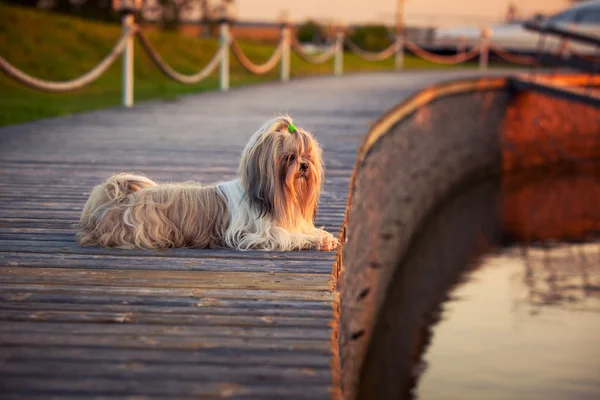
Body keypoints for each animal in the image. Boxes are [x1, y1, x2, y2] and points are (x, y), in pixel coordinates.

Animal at [75, 115, 338, 250]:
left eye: (308, 156)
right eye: (289, 157)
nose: (304, 166)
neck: (276, 200)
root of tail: (115, 200)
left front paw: (323, 235)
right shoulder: (261, 234)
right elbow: (289, 237)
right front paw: (317, 240)